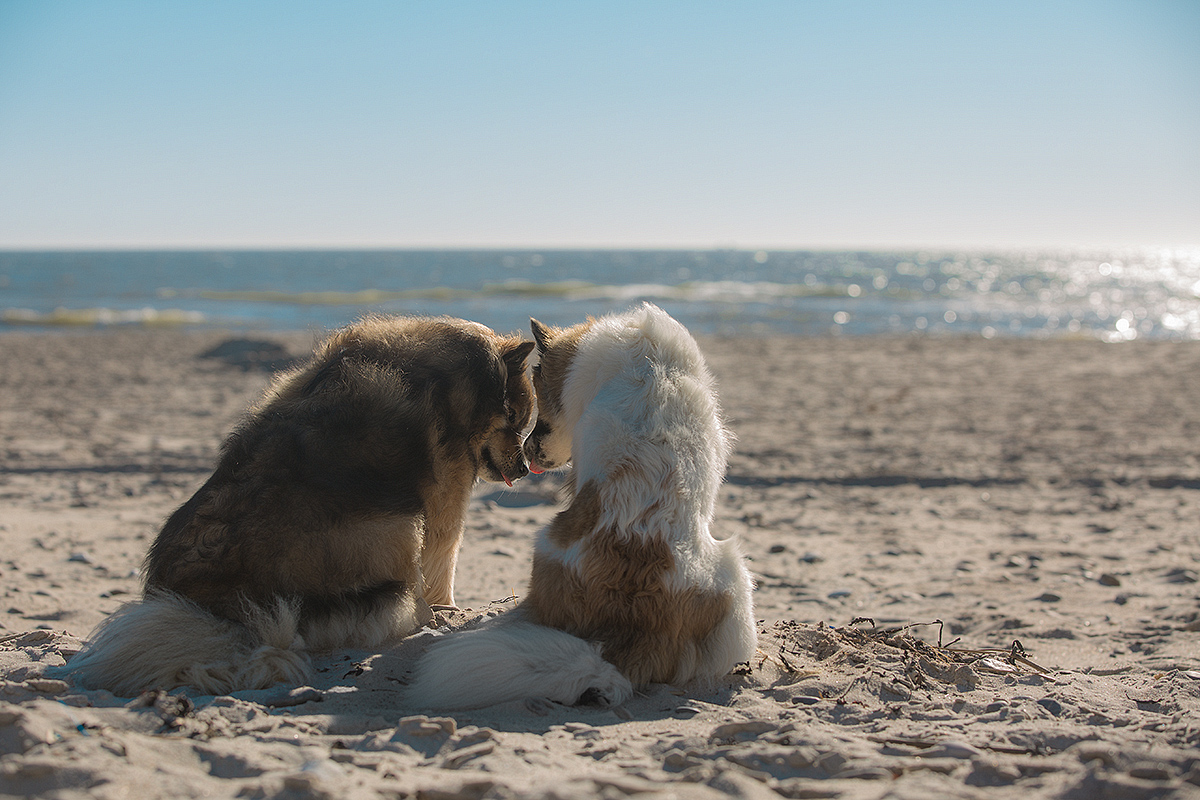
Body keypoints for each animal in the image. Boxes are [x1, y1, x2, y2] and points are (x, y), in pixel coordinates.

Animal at [60, 316, 535, 695]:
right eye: (516, 419)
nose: (527, 468)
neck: (466, 384)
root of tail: (225, 615)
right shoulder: (444, 502)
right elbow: (442, 568)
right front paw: (446, 611)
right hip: (397, 527)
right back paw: (421, 619)